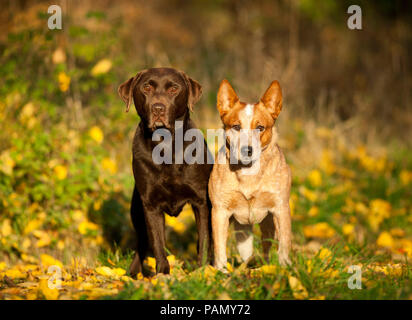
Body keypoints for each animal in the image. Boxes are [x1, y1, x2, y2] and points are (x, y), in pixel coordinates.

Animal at [116, 67, 211, 276]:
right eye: (146, 87)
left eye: (174, 89)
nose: (158, 108)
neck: (166, 146)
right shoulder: (150, 205)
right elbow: (158, 243)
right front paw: (162, 274)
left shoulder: (201, 202)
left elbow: (204, 240)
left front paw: (203, 271)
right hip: (136, 211)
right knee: (142, 243)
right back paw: (132, 273)